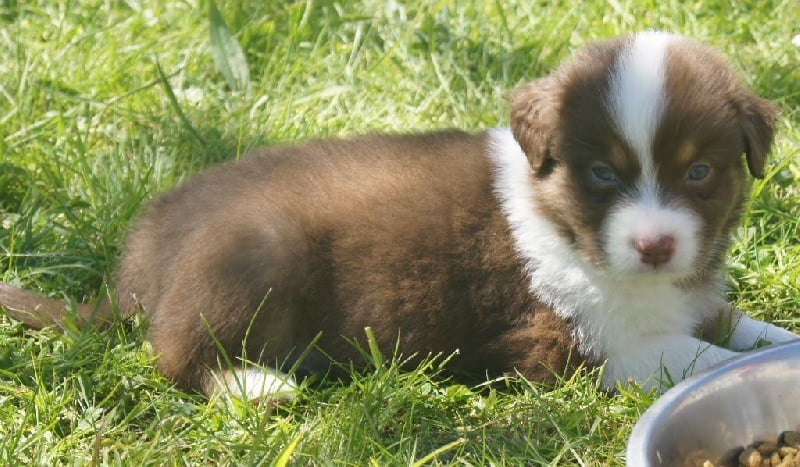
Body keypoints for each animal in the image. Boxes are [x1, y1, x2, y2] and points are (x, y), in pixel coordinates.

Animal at [1, 31, 797, 401]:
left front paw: (773, 338)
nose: (657, 246)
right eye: (602, 173)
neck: (570, 231)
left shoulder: (687, 298)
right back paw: (255, 384)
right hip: (251, 253)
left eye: (698, 172)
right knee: (170, 349)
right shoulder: (569, 343)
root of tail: (138, 268)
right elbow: (696, 356)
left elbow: (736, 327)